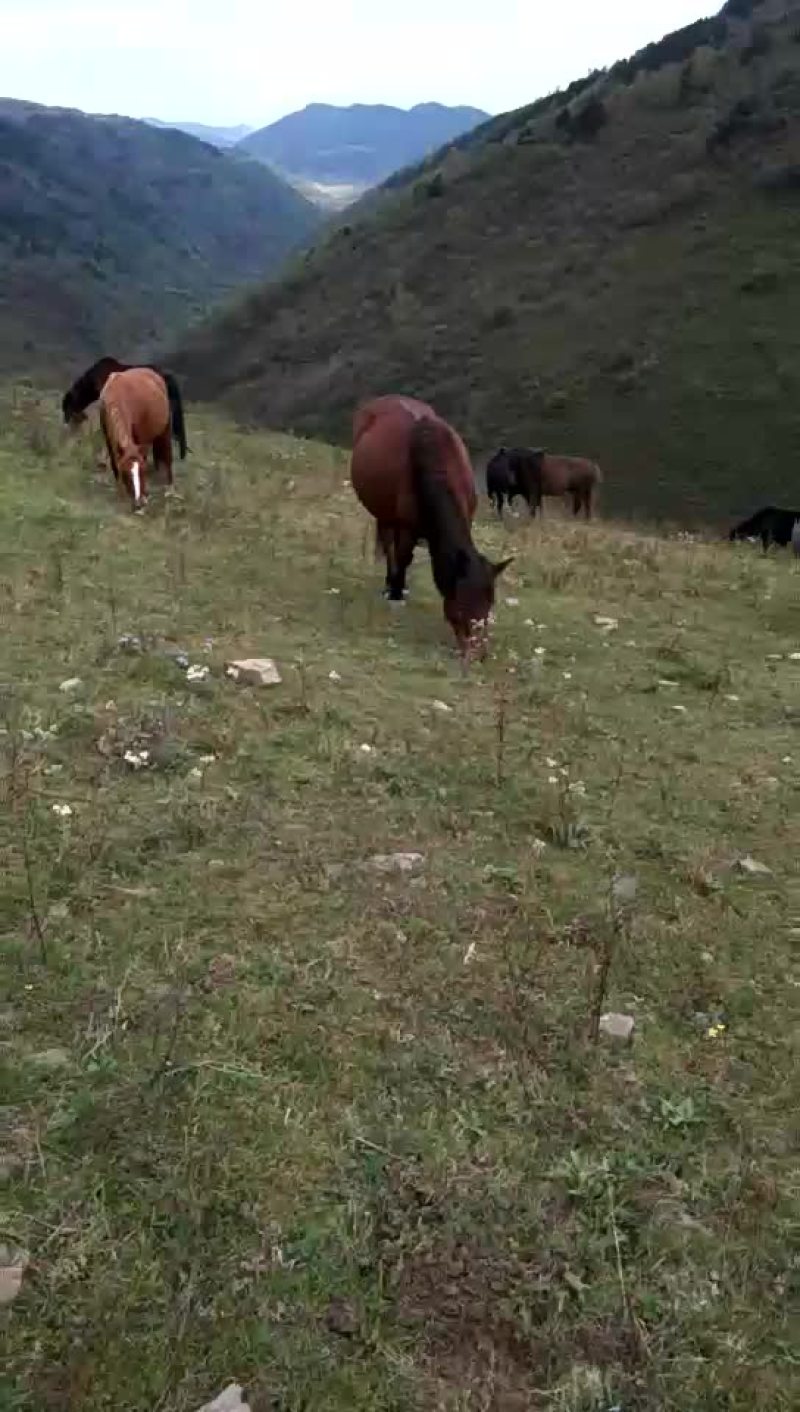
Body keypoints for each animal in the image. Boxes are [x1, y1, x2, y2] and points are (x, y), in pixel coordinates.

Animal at [99, 369, 173, 512]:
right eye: (126, 474)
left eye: (142, 472)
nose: (138, 504)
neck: (116, 392)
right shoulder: (109, 438)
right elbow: (115, 463)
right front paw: (120, 492)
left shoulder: (139, 438)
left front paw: (144, 496)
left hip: (165, 431)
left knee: (167, 456)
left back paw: (170, 486)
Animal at [350, 395, 512, 657]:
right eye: (462, 604)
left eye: (490, 603)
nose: (477, 653)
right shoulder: (406, 527)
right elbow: (403, 556)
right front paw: (395, 594)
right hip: (384, 514)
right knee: (388, 543)